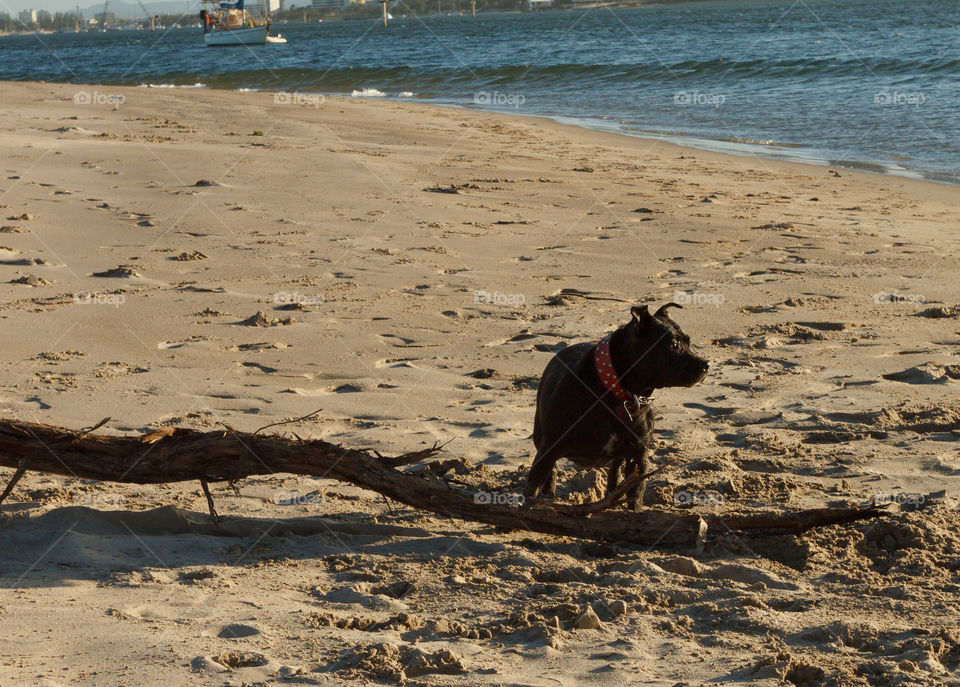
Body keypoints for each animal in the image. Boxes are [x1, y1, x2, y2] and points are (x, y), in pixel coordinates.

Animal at [520, 306, 708, 510]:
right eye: (673, 346)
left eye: (689, 342)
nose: (706, 365)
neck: (618, 393)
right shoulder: (549, 449)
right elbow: (532, 487)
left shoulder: (638, 456)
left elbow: (636, 492)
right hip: (541, 438)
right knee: (552, 470)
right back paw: (549, 495)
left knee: (615, 469)